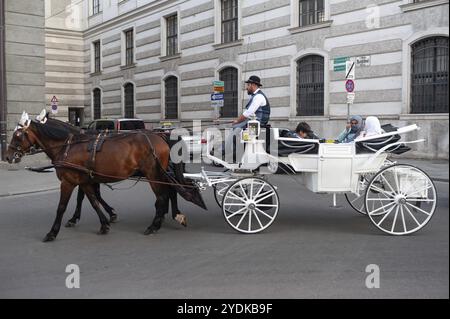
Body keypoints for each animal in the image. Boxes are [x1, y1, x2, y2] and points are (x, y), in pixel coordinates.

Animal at [5, 115, 206, 242]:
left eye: (18, 135)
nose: (7, 156)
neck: (69, 145)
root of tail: (161, 136)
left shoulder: (69, 182)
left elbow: (62, 207)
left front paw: (53, 232)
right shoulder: (86, 180)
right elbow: (93, 201)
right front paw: (104, 222)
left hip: (153, 174)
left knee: (163, 197)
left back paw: (155, 225)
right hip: (159, 173)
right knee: (169, 192)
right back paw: (169, 217)